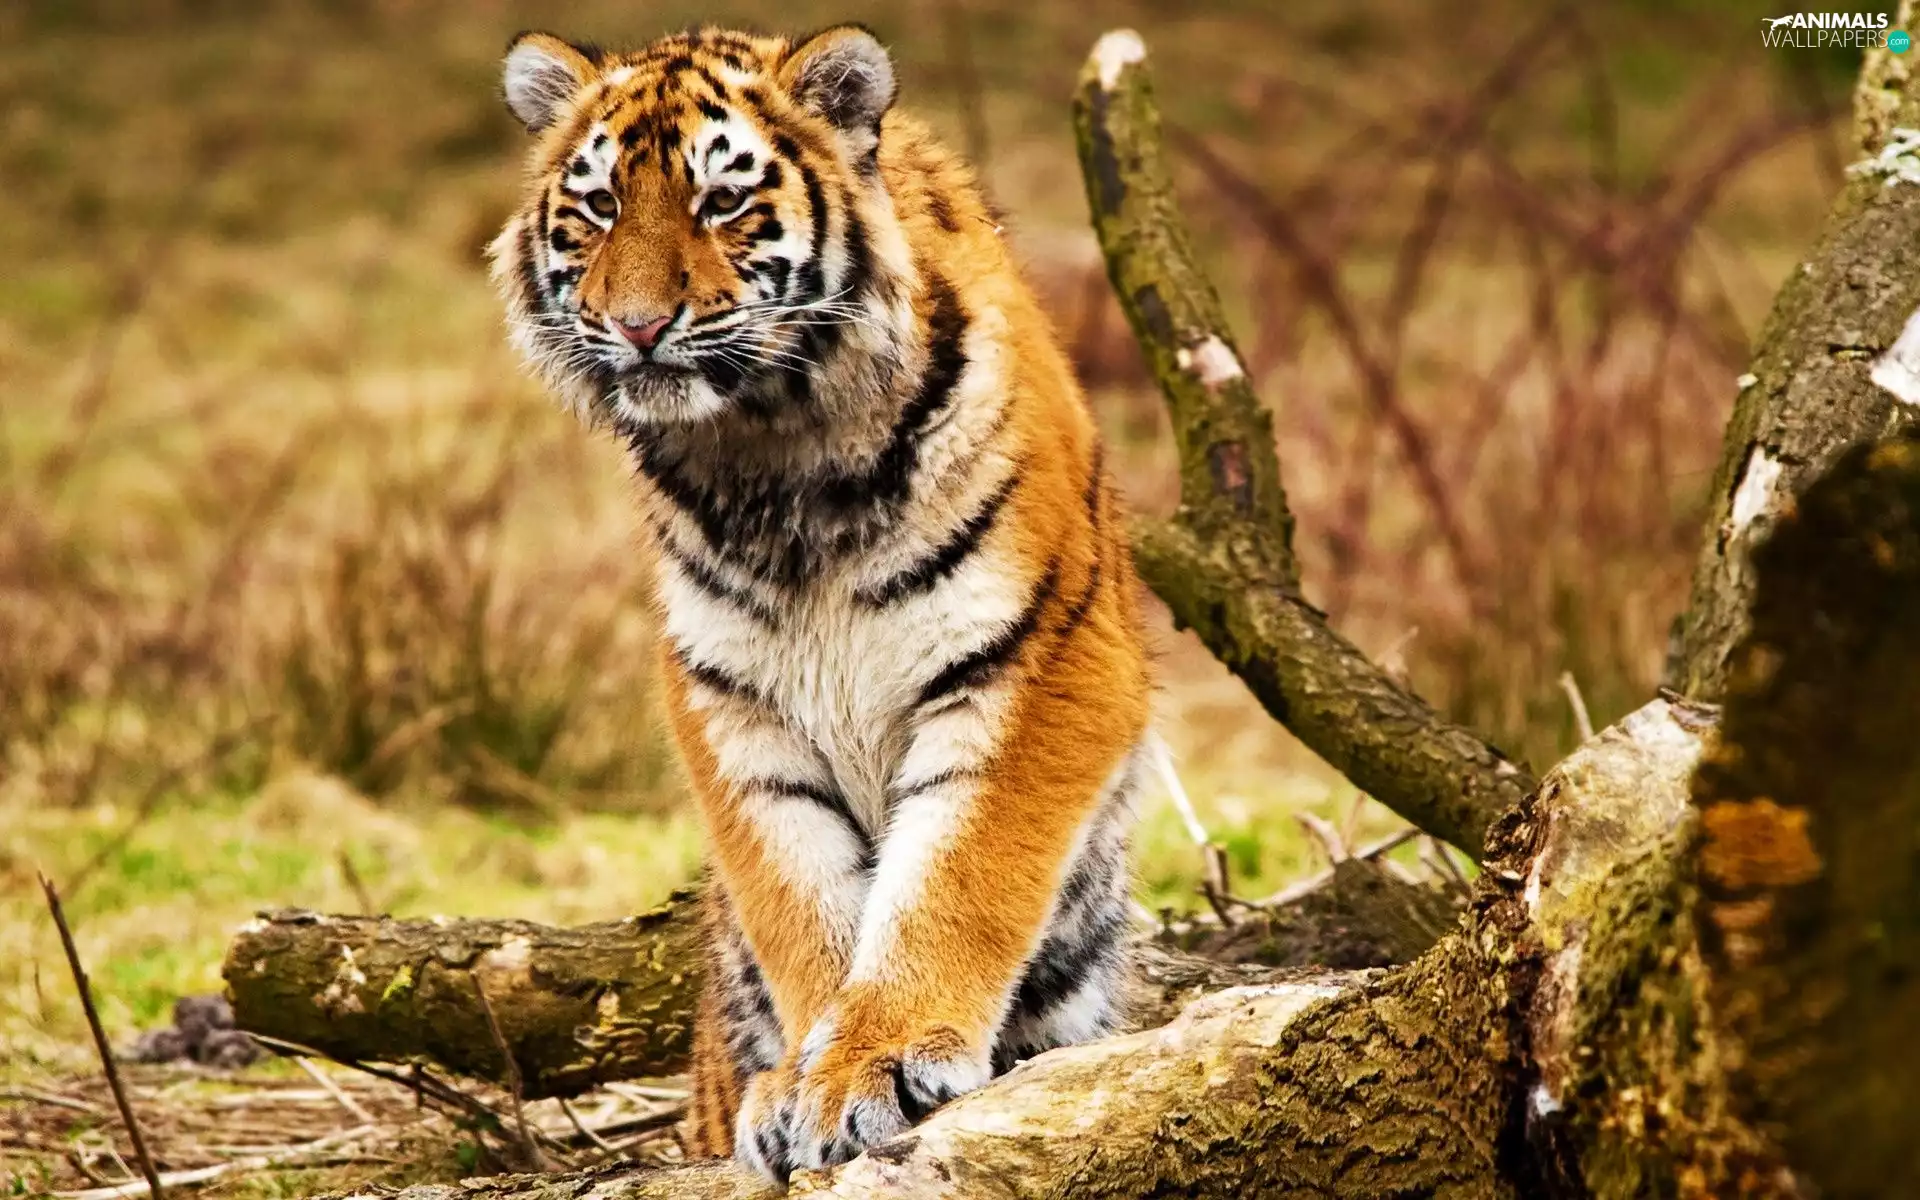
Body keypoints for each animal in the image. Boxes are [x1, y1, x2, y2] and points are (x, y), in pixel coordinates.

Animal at [488, 22, 1153, 1182]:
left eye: (720, 202)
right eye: (601, 205)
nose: (638, 326)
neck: (774, 454)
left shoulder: (1038, 658)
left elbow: (954, 875)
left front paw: (874, 1064)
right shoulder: (730, 701)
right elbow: (801, 899)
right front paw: (806, 1080)